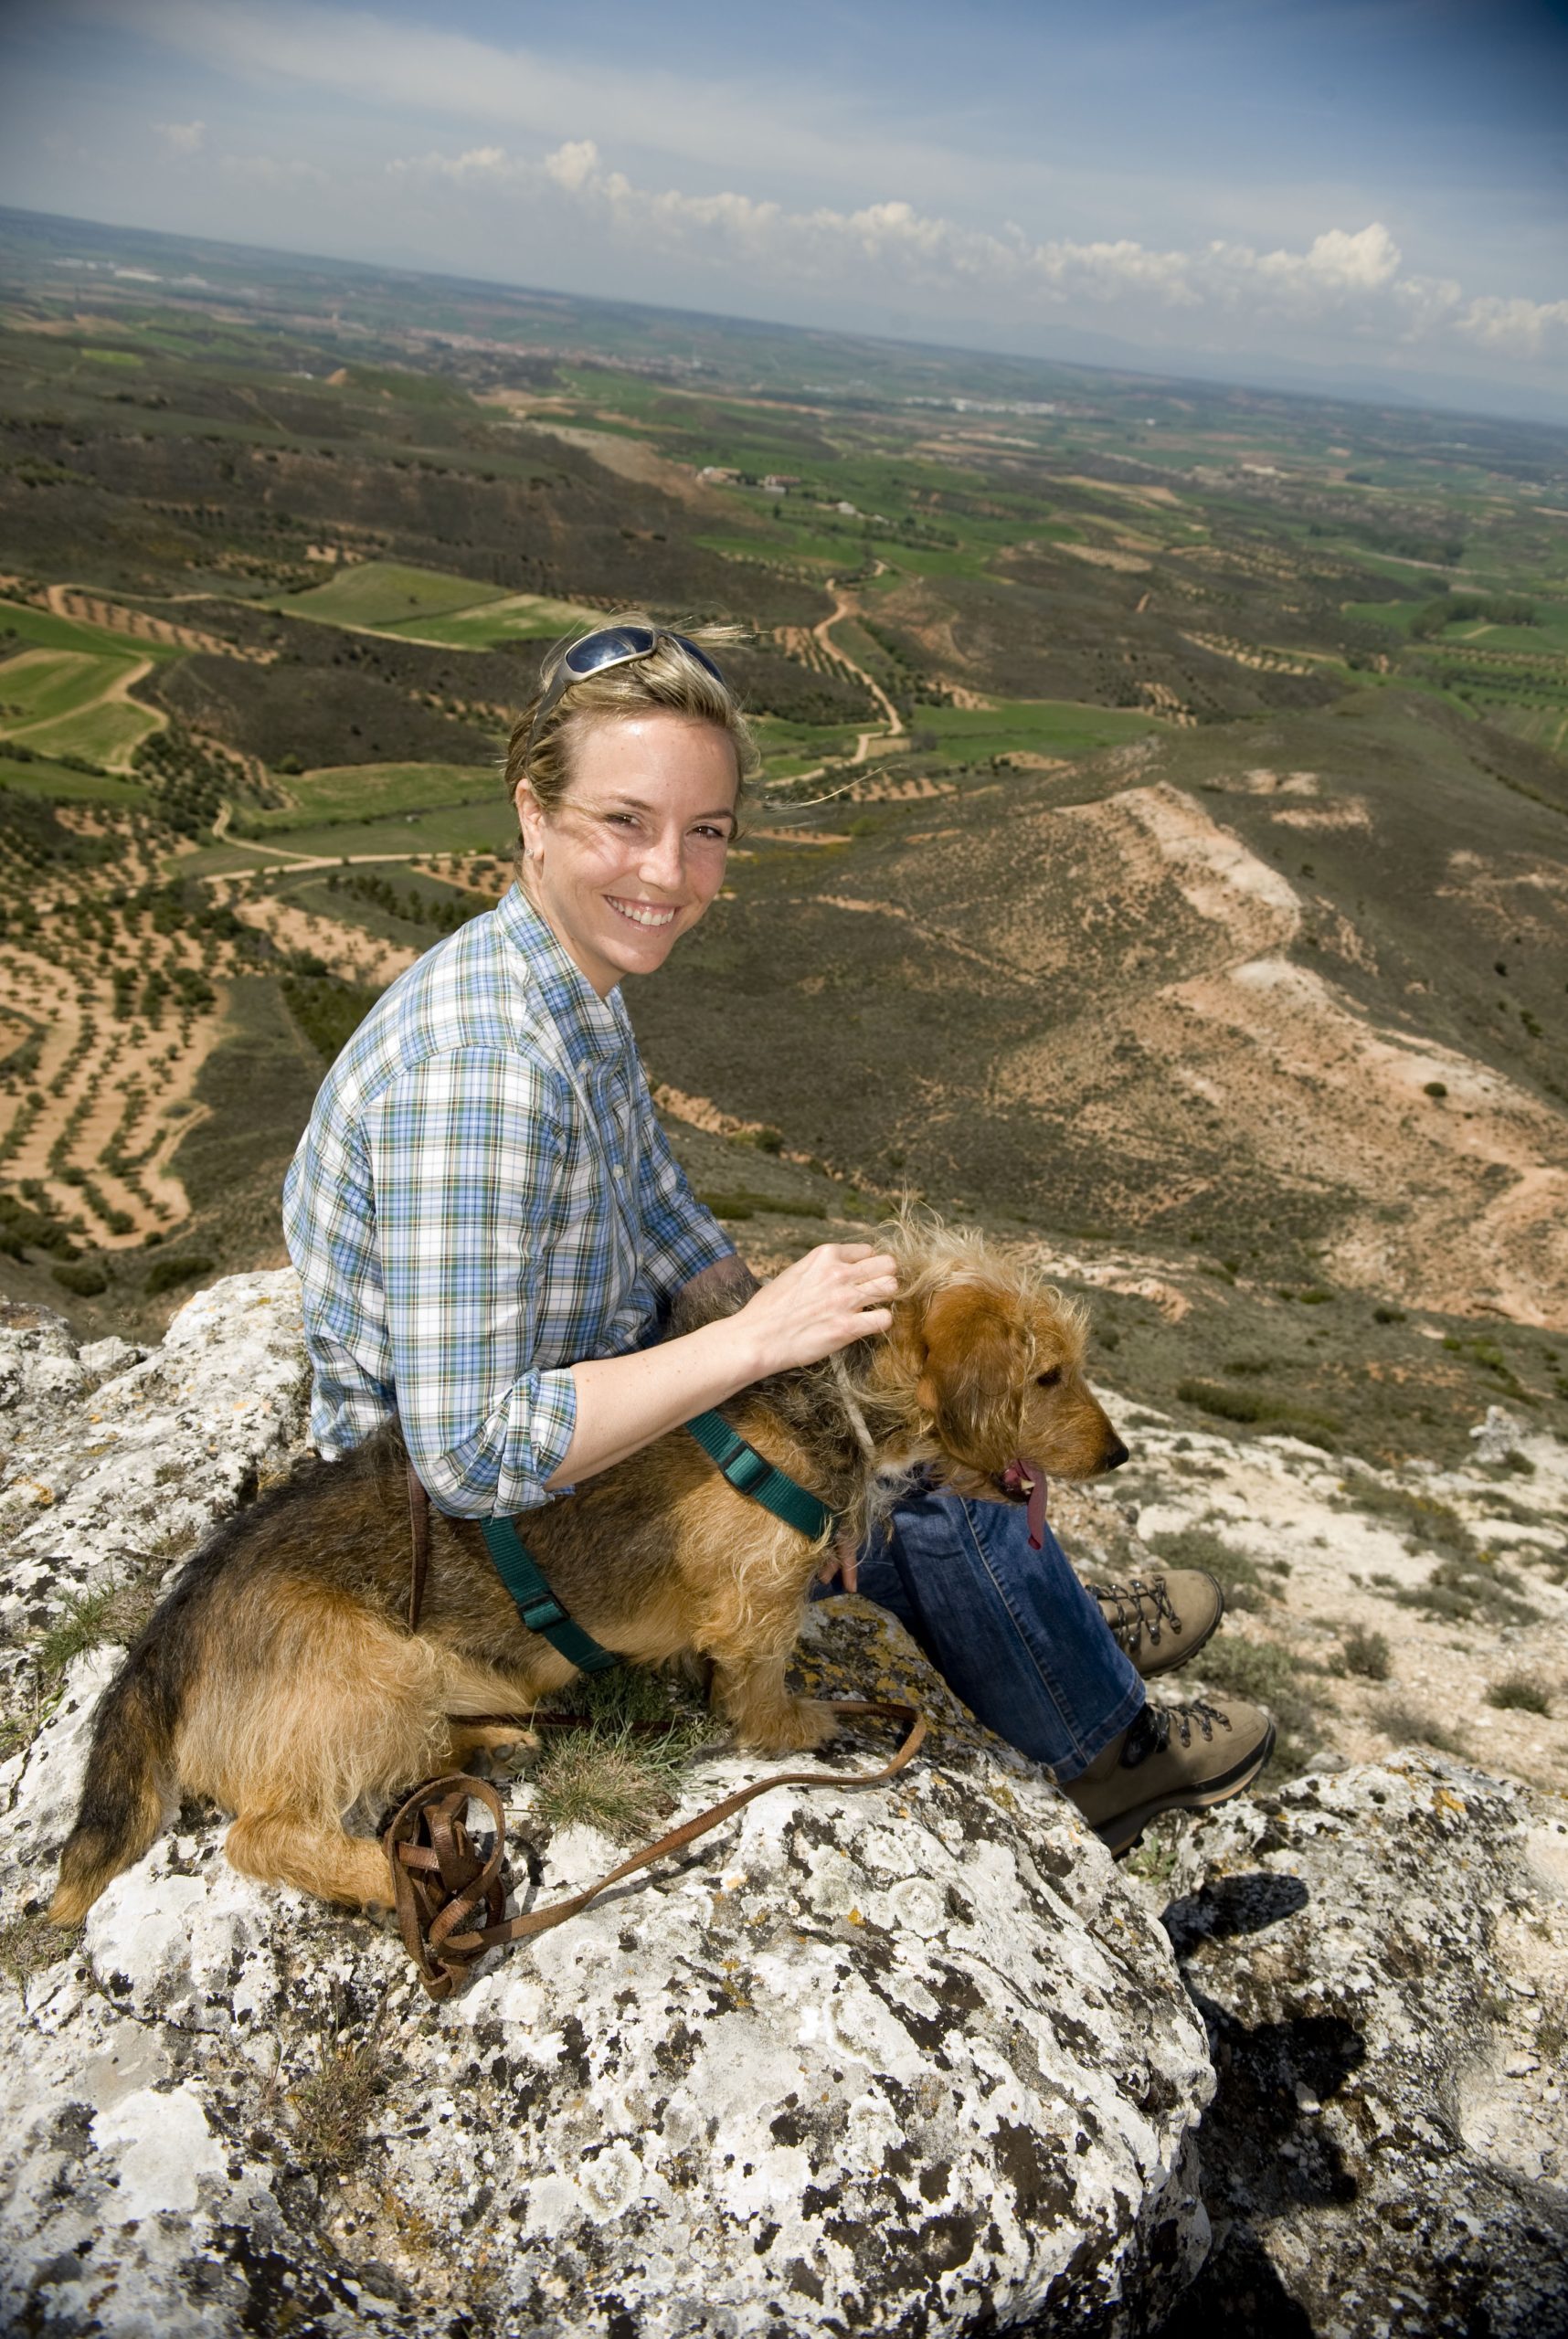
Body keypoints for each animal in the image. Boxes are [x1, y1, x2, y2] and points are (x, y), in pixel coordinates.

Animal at [51, 1216, 1132, 1927]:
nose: (1120, 1453)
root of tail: (169, 1631)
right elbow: (761, 1675)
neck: (835, 1388)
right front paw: (798, 1725)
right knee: (262, 1836)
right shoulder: (758, 1598)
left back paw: (496, 1737)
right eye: (1046, 1376)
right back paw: (389, 1877)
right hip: (367, 1677)